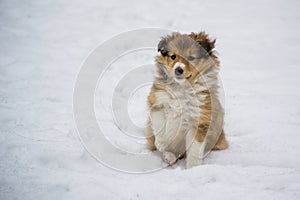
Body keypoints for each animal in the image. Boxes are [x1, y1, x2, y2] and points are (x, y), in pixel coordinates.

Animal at [144, 31, 229, 169]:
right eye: (173, 57)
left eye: (191, 58)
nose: (178, 70)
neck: (182, 88)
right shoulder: (157, 101)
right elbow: (159, 123)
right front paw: (162, 143)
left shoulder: (199, 121)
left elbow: (194, 149)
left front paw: (193, 168)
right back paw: (168, 155)